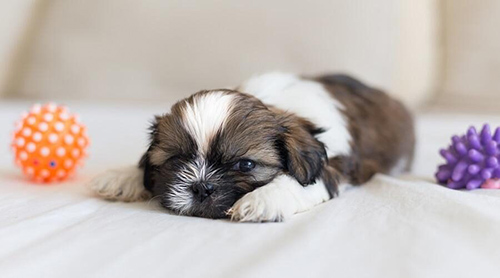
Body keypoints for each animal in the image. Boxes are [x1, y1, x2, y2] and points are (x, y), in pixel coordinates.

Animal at [89, 71, 414, 222]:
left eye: (245, 164)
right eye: (176, 160)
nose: (201, 187)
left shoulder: (332, 164)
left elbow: (300, 182)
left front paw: (262, 199)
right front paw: (122, 176)